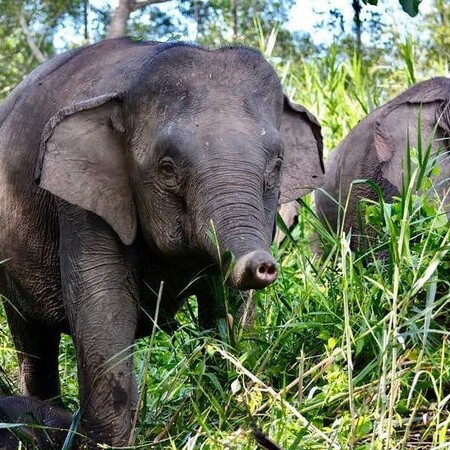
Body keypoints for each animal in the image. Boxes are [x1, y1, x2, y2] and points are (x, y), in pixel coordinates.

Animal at [0, 37, 324, 446]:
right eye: (167, 169)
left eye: (277, 165)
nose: (262, 265)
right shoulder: (82, 202)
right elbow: (104, 307)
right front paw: (108, 443)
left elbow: (227, 305)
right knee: (32, 339)